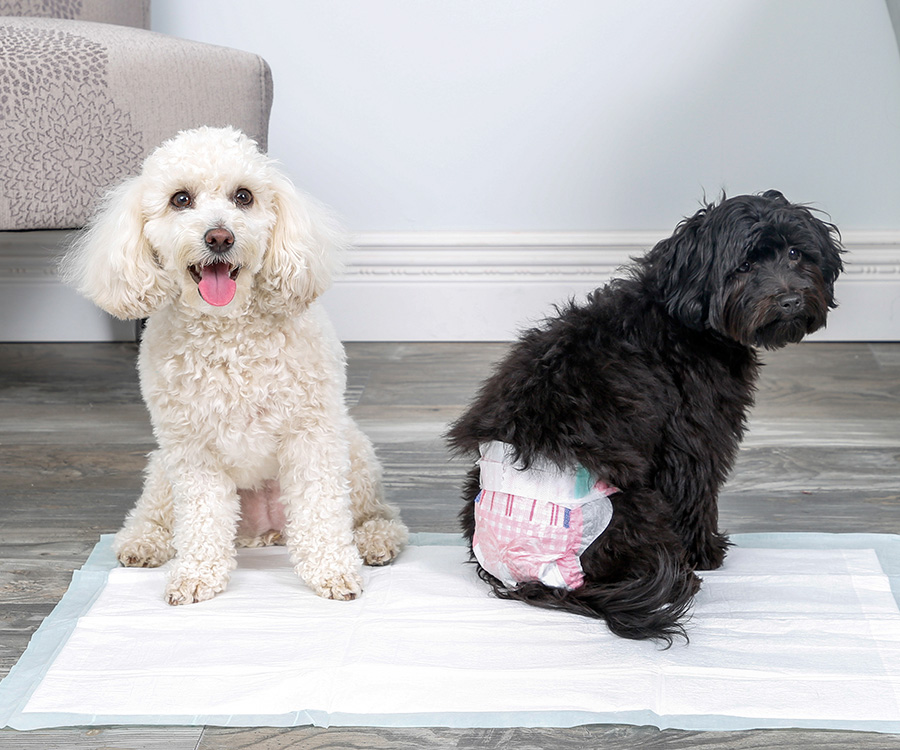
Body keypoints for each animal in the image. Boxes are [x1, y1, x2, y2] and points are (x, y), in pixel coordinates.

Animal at [65, 123, 410, 604]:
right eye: (180, 199)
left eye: (243, 196)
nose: (220, 237)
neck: (229, 331)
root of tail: (263, 532)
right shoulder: (191, 449)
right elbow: (202, 518)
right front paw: (195, 574)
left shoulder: (312, 435)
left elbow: (321, 510)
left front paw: (332, 570)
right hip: (163, 467)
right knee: (155, 514)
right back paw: (142, 542)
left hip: (354, 452)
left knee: (372, 513)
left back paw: (376, 539)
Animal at [450, 192, 844, 648]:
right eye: (743, 266)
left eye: (796, 253)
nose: (790, 300)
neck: (682, 318)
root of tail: (529, 578)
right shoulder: (693, 440)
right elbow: (696, 497)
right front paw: (706, 553)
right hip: (637, 506)